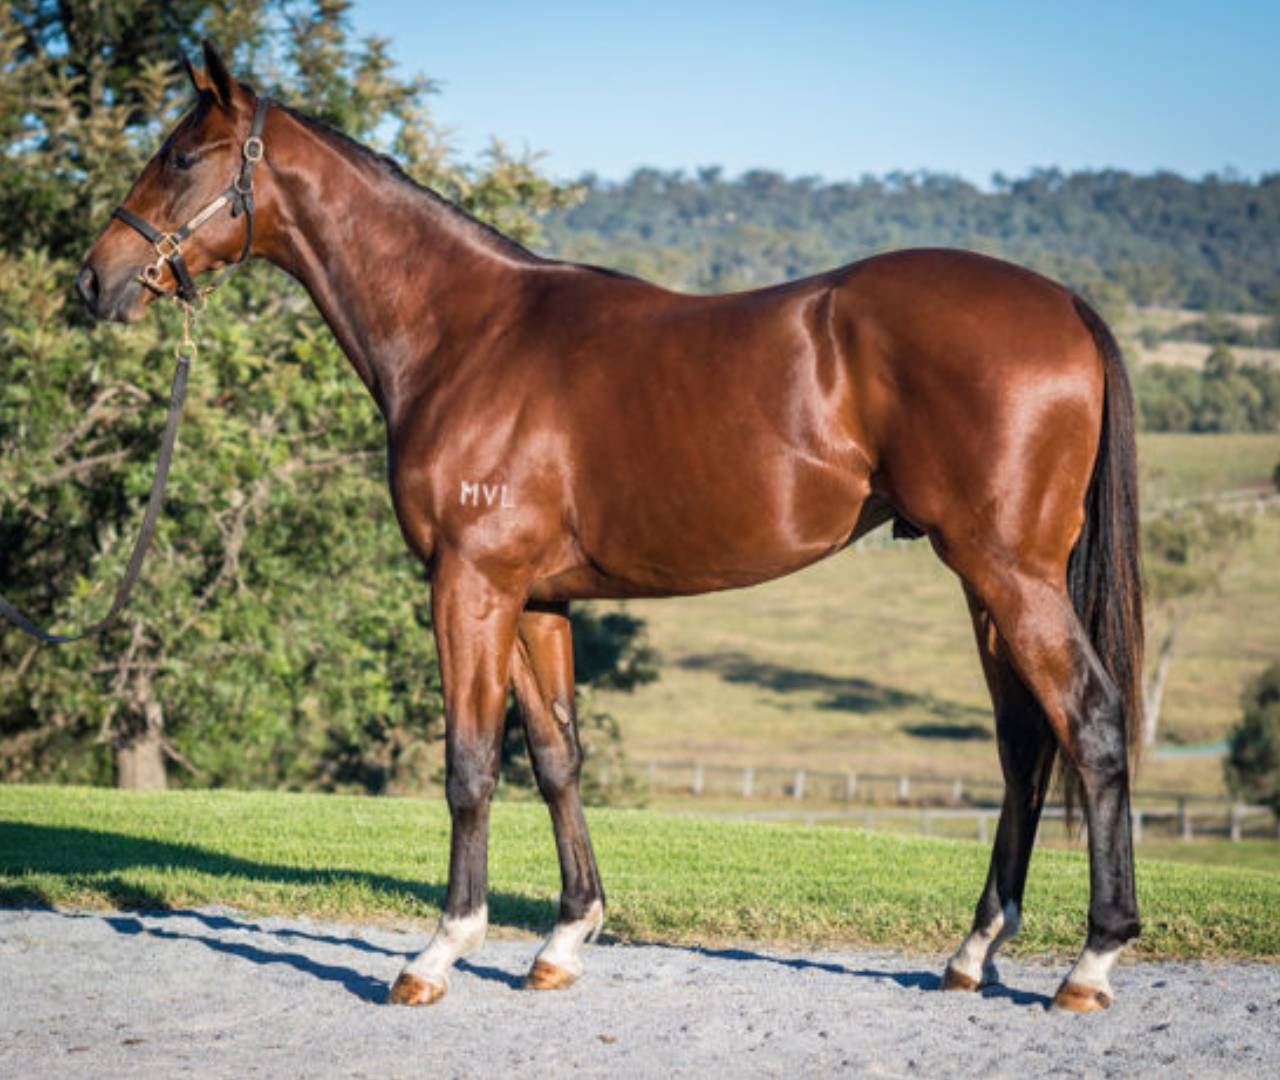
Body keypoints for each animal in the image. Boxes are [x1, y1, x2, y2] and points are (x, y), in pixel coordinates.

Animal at [77, 42, 1143, 1012]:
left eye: (181, 155)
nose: (95, 280)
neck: (466, 335)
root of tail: (1065, 303)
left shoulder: (469, 586)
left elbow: (469, 764)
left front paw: (438, 952)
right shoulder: (537, 600)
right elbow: (556, 760)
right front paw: (564, 939)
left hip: (1009, 572)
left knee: (1089, 722)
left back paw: (1092, 962)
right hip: (987, 586)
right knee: (1023, 745)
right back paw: (975, 951)